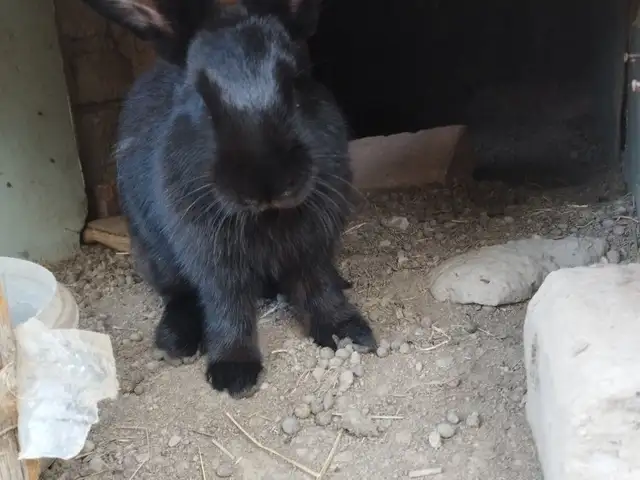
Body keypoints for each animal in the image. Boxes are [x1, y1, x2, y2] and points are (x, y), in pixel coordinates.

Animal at [81, 0, 377, 397]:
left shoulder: (312, 247)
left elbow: (319, 288)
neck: (267, 216)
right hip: (154, 253)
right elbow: (227, 306)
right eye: (200, 97)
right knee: (177, 295)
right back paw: (174, 341)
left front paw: (350, 333)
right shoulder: (213, 258)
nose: (266, 185)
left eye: (297, 81)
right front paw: (233, 372)